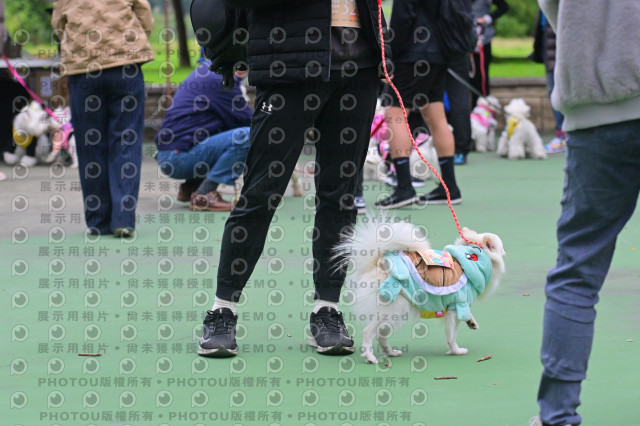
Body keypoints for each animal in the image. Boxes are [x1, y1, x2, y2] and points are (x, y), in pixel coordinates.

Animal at [334, 218, 506, 364]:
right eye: (501, 245)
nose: (505, 249)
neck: (471, 259)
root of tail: (378, 262)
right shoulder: (455, 306)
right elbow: (451, 334)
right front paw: (456, 351)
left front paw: (471, 322)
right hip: (393, 308)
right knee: (369, 331)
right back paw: (370, 357)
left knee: (381, 335)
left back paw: (390, 353)